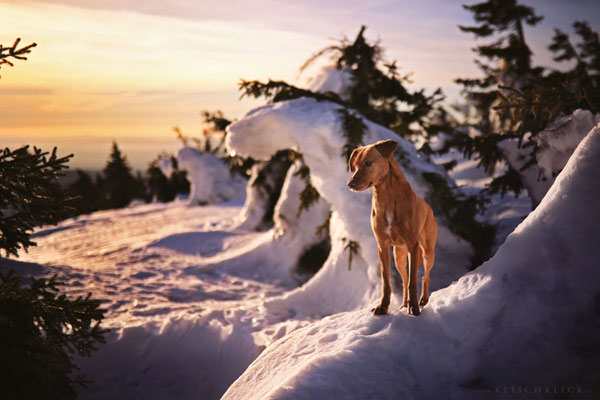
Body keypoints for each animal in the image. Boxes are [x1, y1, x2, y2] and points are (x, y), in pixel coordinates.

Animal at [346, 139, 436, 318]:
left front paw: (414, 308)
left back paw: (423, 299)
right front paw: (383, 307)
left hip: (427, 251)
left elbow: (413, 282)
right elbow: (386, 281)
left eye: (368, 163)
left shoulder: (412, 245)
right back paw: (404, 304)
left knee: (425, 276)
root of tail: (428, 207)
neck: (385, 196)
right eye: (355, 164)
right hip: (399, 256)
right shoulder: (382, 246)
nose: (350, 184)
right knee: (405, 278)